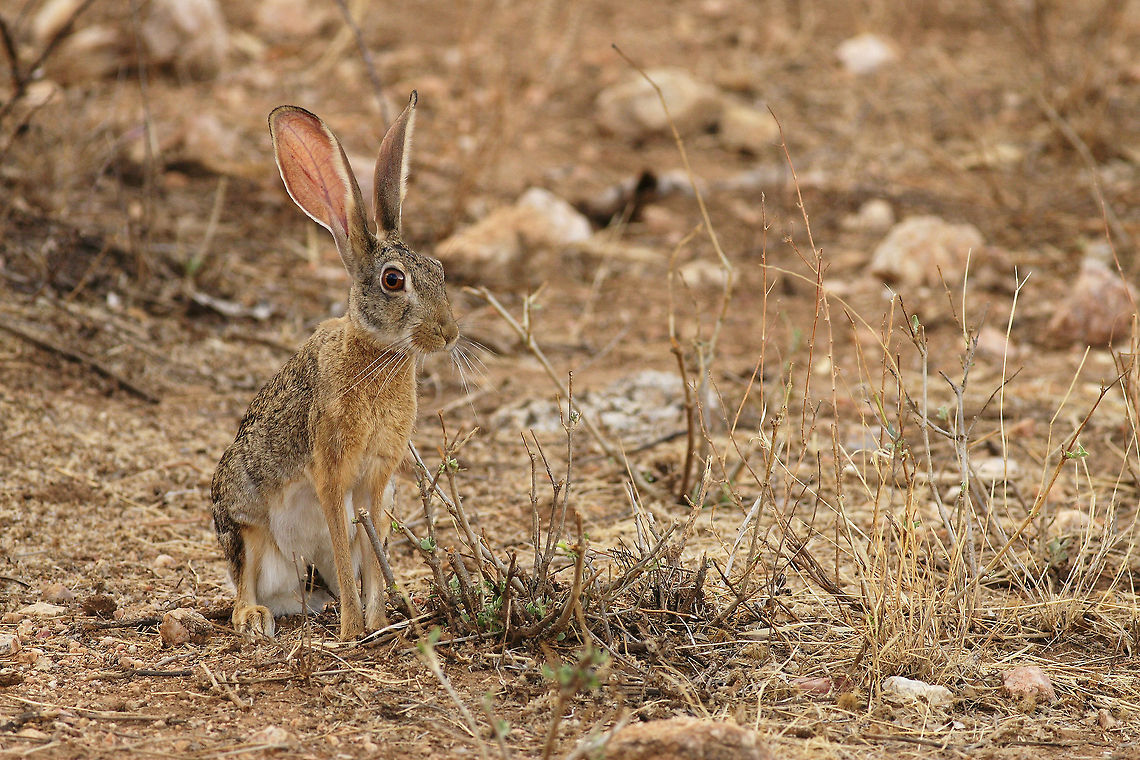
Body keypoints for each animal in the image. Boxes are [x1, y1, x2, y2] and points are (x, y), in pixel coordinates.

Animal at [211, 92, 458, 640]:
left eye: (439, 270)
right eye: (393, 281)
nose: (449, 333)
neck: (376, 355)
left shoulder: (377, 484)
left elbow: (372, 550)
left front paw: (379, 622)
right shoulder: (331, 472)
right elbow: (348, 553)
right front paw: (351, 632)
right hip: (246, 518)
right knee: (245, 578)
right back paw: (256, 617)